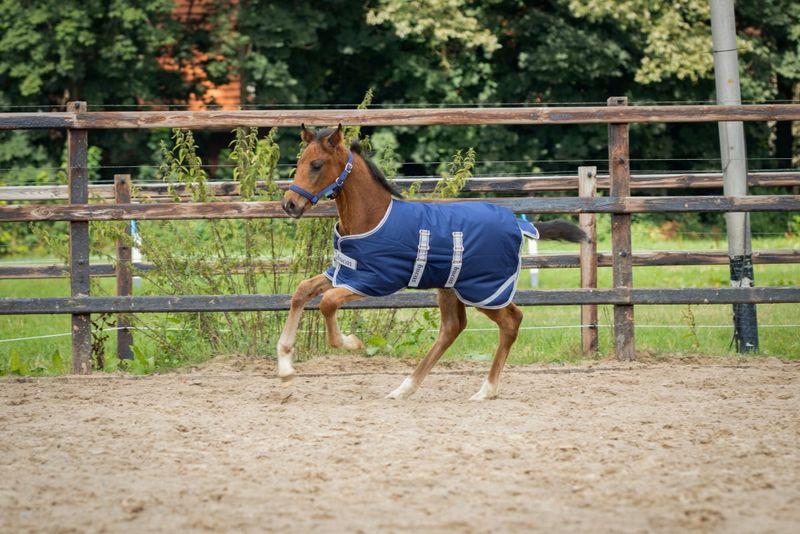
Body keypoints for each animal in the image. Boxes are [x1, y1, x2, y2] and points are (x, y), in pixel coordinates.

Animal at [278, 124, 586, 400]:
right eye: (300, 163)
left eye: (316, 164)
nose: (289, 204)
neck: (372, 217)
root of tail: (518, 224)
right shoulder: (343, 272)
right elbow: (302, 291)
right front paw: (285, 369)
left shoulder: (374, 280)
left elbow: (328, 302)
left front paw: (351, 342)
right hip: (451, 287)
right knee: (452, 328)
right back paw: (404, 389)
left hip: (484, 291)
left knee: (511, 321)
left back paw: (485, 391)